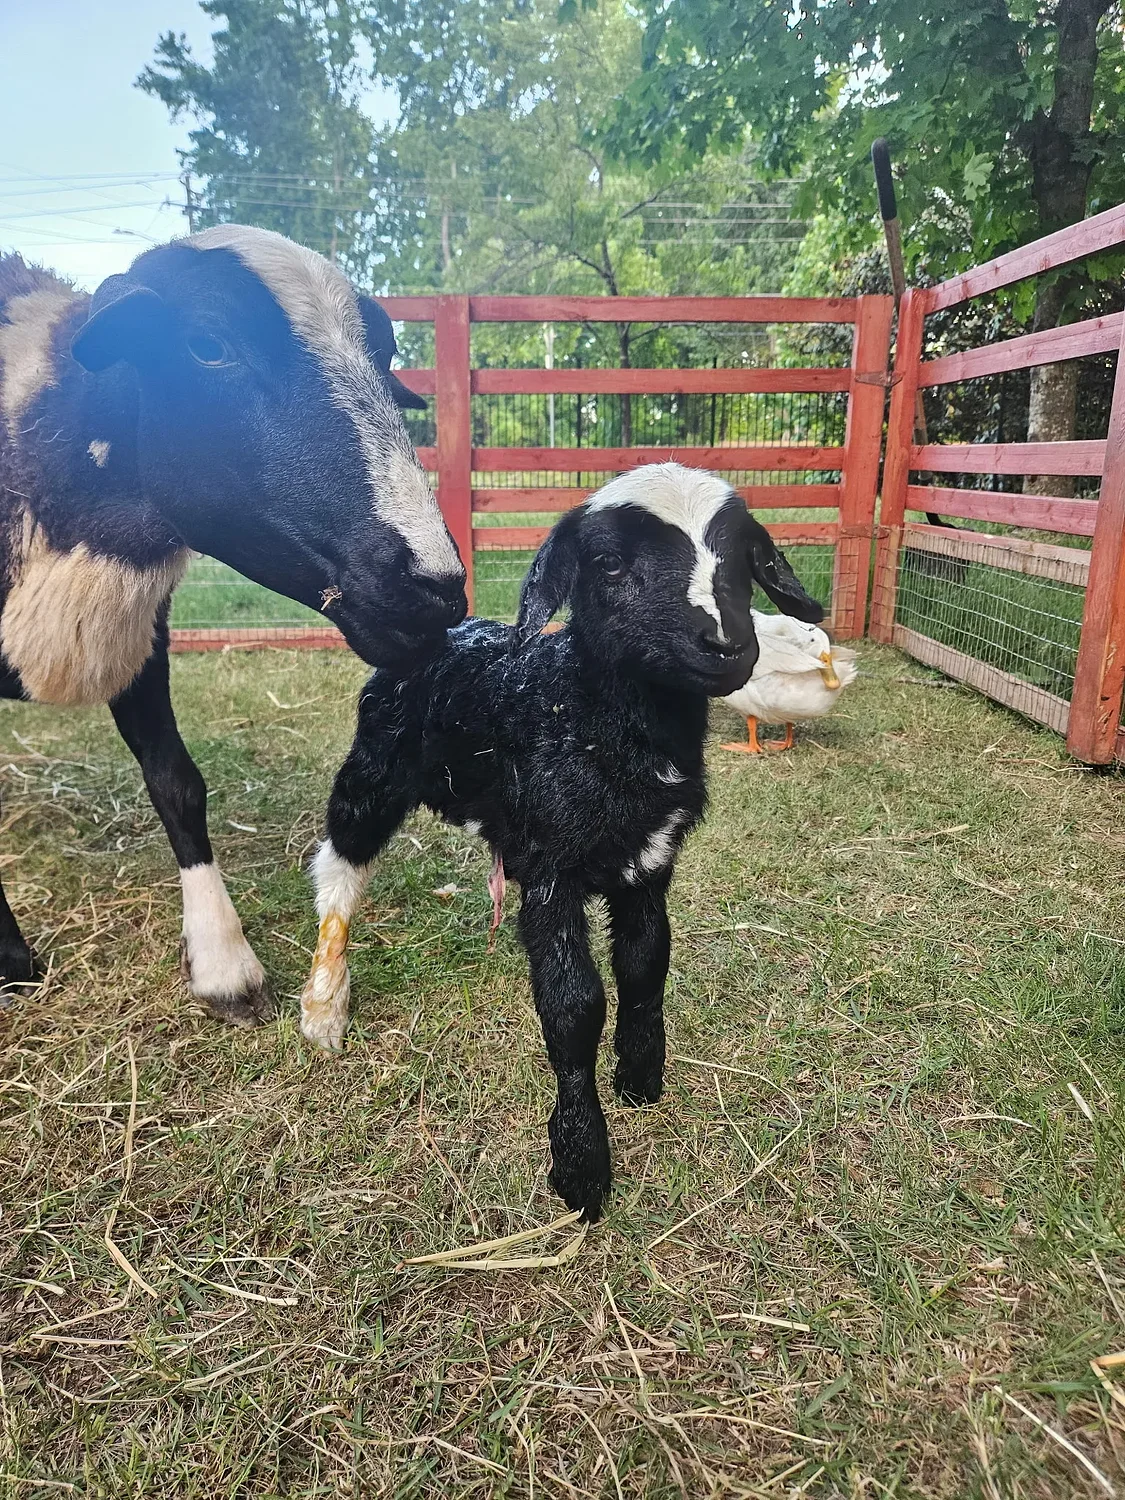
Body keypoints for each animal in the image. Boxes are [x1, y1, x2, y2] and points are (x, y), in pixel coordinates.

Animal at [0, 226, 466, 1025]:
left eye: (383, 354)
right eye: (206, 346)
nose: (436, 591)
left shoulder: (143, 635)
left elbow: (177, 780)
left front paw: (223, 963)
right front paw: (9, 961)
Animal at [299, 463, 824, 1221]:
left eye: (744, 558)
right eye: (608, 563)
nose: (726, 645)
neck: (582, 713)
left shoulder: (649, 864)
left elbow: (645, 966)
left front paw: (640, 1078)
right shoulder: (553, 872)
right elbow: (574, 1007)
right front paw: (581, 1167)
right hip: (373, 767)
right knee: (339, 864)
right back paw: (323, 1009)